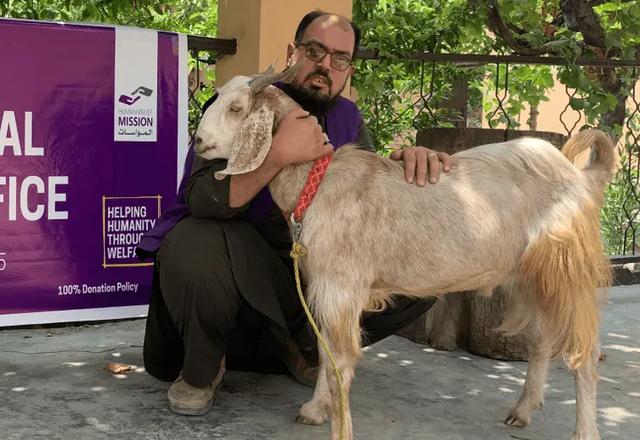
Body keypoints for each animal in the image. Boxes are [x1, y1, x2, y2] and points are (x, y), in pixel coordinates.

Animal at [194, 66, 617, 440]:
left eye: (236, 108)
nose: (197, 142)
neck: (318, 182)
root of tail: (581, 177)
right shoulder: (326, 286)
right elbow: (325, 350)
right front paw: (317, 408)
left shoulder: (341, 285)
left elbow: (340, 361)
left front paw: (340, 428)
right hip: (532, 275)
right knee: (542, 340)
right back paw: (524, 409)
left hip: (568, 269)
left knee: (584, 353)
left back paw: (585, 431)